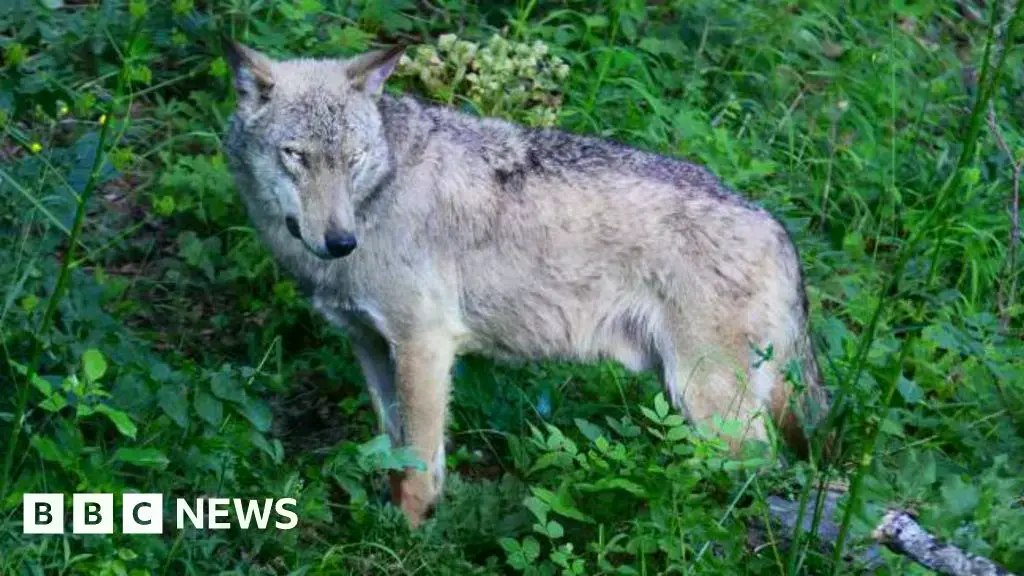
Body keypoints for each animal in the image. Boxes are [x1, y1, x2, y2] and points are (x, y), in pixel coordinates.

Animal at [222, 39, 830, 528]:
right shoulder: (371, 346)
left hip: (706, 402)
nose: (340, 241)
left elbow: (419, 467)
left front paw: (410, 540)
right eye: (295, 156)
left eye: (354, 159)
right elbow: (395, 455)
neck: (378, 197)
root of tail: (777, 227)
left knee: (761, 473)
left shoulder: (423, 345)